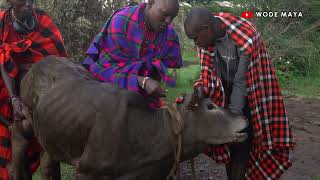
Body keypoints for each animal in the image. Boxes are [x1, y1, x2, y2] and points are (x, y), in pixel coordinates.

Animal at [10, 55, 249, 179]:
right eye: (210, 106)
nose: (245, 119)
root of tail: (38, 64)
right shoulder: (86, 169)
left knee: (47, 161)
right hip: (24, 120)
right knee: (17, 140)